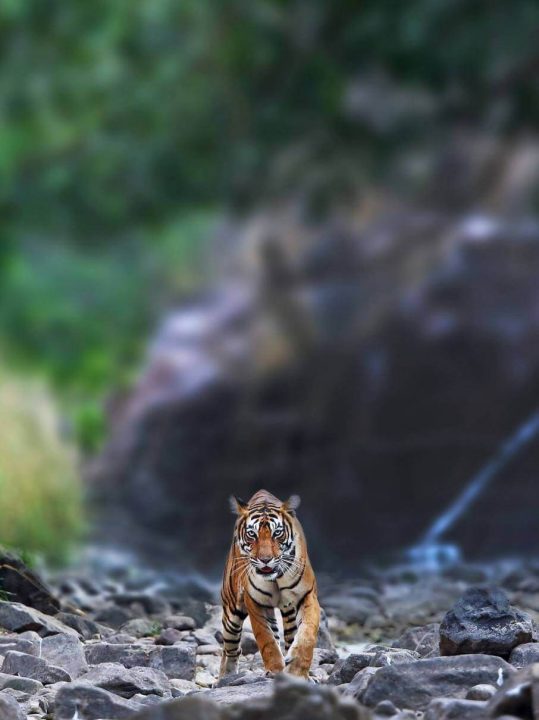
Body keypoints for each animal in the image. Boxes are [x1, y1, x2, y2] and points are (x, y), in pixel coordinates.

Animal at [219, 490, 320, 680]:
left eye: (277, 533)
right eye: (252, 534)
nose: (265, 560)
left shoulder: (307, 595)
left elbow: (307, 633)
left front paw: (296, 671)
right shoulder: (255, 602)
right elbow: (266, 640)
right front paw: (275, 670)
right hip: (231, 612)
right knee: (231, 648)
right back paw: (225, 676)